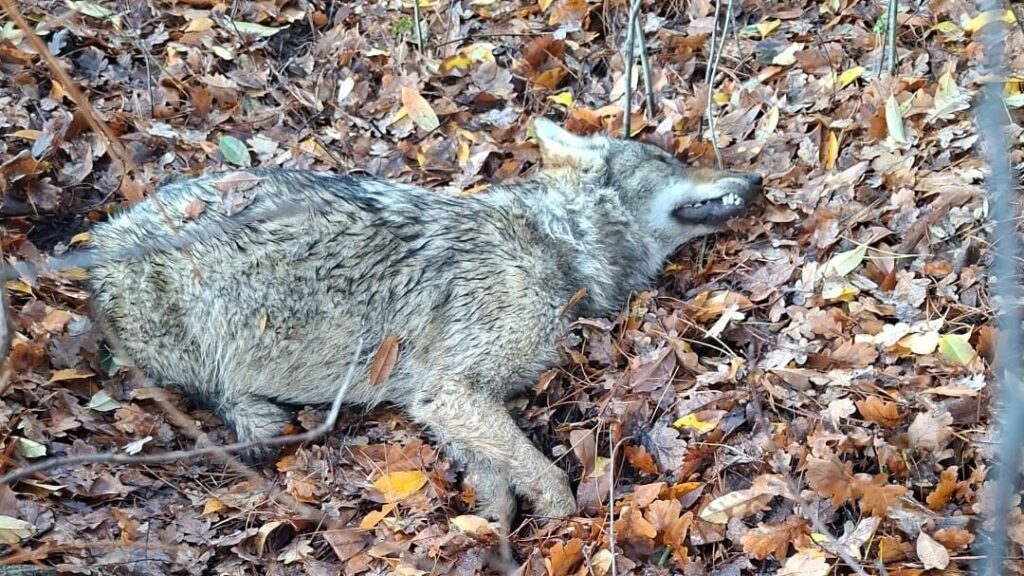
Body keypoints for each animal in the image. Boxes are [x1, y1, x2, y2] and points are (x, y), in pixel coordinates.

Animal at [75, 118, 761, 529]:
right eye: (668, 161)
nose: (755, 177)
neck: (556, 243)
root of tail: (95, 245)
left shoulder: (442, 401)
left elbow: (497, 482)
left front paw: (492, 535)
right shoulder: (453, 392)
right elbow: (543, 474)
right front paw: (564, 525)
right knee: (199, 390)